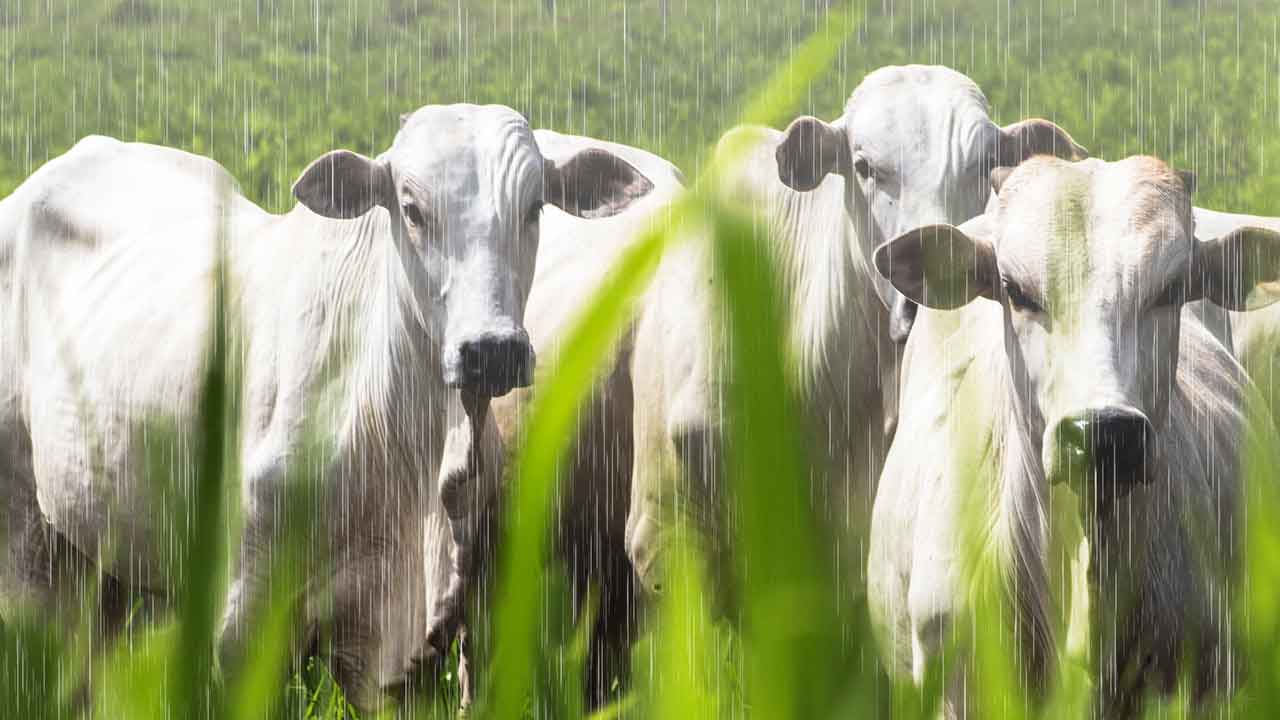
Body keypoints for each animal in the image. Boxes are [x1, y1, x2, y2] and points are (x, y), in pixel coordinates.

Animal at [0, 105, 655, 707]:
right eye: (411, 208)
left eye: (535, 206)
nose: (490, 351)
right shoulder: (246, 624)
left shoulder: (416, 644)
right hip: (31, 550)